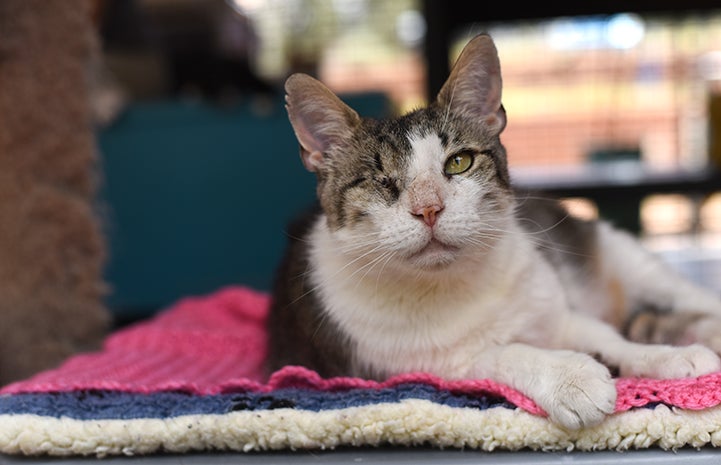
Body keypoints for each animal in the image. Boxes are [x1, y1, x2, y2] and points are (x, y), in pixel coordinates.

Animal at [266, 33, 721, 432]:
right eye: (381, 182)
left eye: (459, 162)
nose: (428, 208)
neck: (455, 282)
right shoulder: (427, 367)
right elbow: (508, 354)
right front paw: (570, 378)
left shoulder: (556, 311)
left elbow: (611, 338)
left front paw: (669, 358)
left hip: (627, 259)